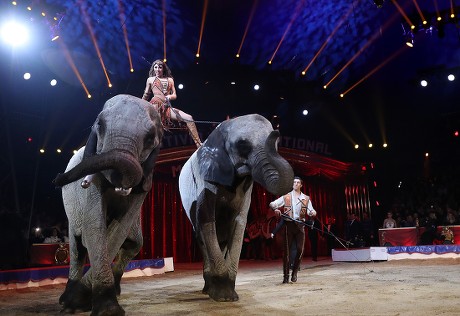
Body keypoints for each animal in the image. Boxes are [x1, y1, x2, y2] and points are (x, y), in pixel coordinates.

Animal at [52, 94, 164, 316]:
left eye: (150, 138)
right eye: (100, 125)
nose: (57, 178)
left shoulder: (145, 184)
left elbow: (118, 231)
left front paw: (86, 302)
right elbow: (95, 226)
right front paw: (80, 304)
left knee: (134, 243)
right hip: (71, 213)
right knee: (77, 247)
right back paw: (65, 297)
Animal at [178, 113, 292, 302]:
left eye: (276, 144)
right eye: (242, 144)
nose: (276, 131)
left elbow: (240, 222)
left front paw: (230, 295)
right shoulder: (204, 181)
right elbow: (207, 220)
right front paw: (223, 297)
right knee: (201, 235)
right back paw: (207, 289)